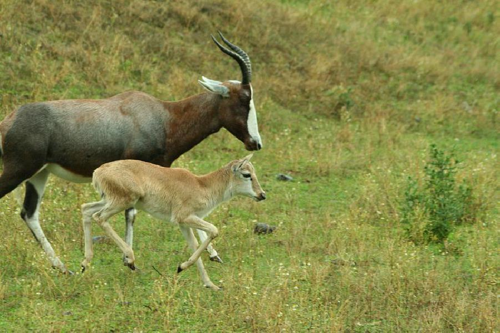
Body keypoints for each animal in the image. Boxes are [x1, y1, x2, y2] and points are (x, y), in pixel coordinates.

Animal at [0, 33, 264, 272]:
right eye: (244, 98)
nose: (256, 143)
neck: (164, 116)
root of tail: (9, 120)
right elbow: (134, 214)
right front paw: (130, 260)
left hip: (39, 174)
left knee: (29, 213)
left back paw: (63, 267)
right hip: (18, 170)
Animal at [81, 154, 266, 290]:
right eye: (247, 174)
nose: (262, 195)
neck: (201, 184)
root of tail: (98, 171)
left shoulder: (184, 225)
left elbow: (194, 246)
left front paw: (210, 285)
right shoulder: (184, 218)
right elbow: (213, 230)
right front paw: (181, 267)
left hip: (109, 201)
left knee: (86, 210)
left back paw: (85, 263)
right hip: (123, 202)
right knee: (99, 217)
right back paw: (130, 260)